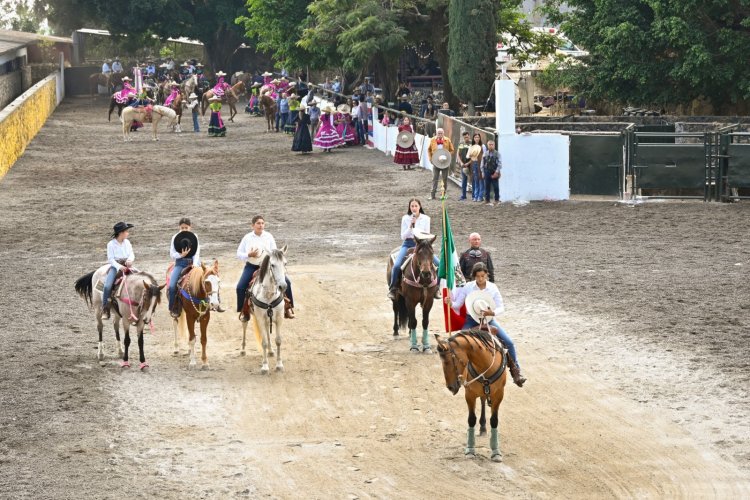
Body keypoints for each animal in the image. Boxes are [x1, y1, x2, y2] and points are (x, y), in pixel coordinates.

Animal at [434, 330, 512, 462]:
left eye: (448, 361)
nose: (450, 387)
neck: (485, 363)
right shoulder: (469, 394)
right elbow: (471, 419)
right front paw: (470, 449)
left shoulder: (498, 395)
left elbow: (494, 420)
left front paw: (496, 452)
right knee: (482, 400)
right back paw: (482, 427)